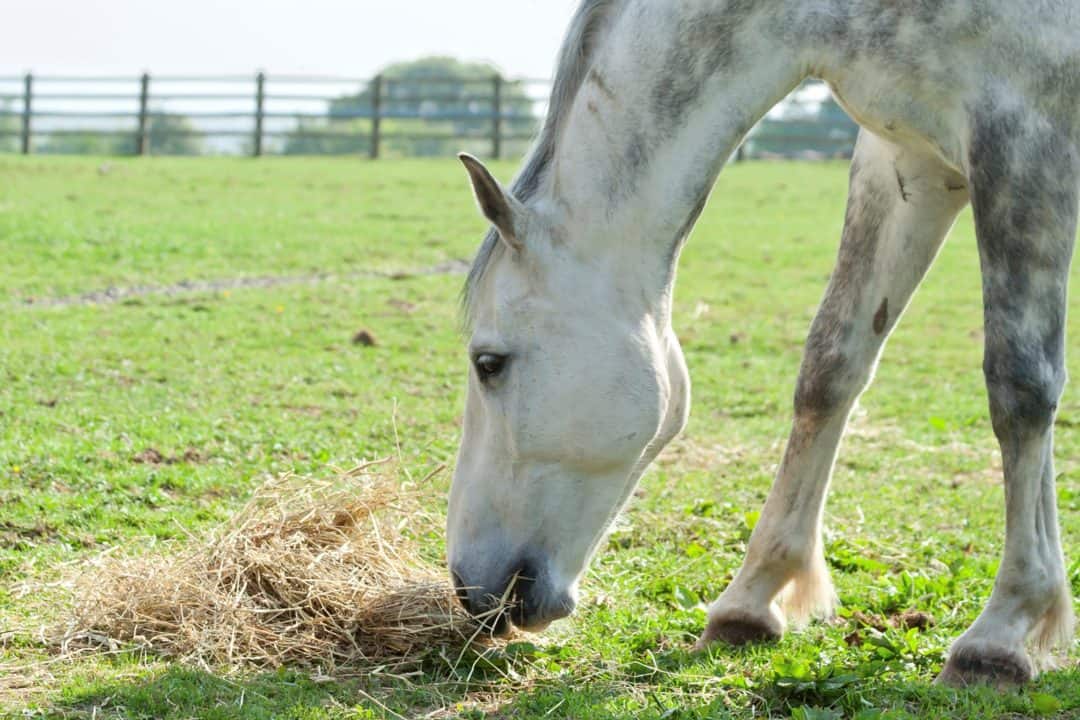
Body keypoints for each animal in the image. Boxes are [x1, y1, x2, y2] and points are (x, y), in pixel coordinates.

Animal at [445, 0, 1079, 687]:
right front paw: (751, 599)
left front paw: (1004, 632)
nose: (469, 587)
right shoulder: (909, 163)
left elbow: (1020, 385)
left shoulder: (1027, 139)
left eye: (489, 363)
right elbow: (830, 367)